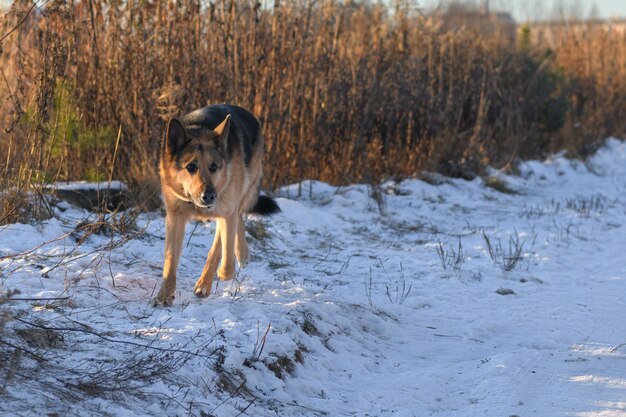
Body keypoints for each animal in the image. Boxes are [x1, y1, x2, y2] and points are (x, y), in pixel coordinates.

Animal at [154, 104, 278, 306]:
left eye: (214, 167)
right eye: (191, 167)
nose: (210, 196)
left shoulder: (225, 214)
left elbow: (222, 256)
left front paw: (208, 282)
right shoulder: (174, 218)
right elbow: (170, 261)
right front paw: (164, 295)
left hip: (245, 189)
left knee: (238, 216)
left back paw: (241, 254)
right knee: (239, 218)